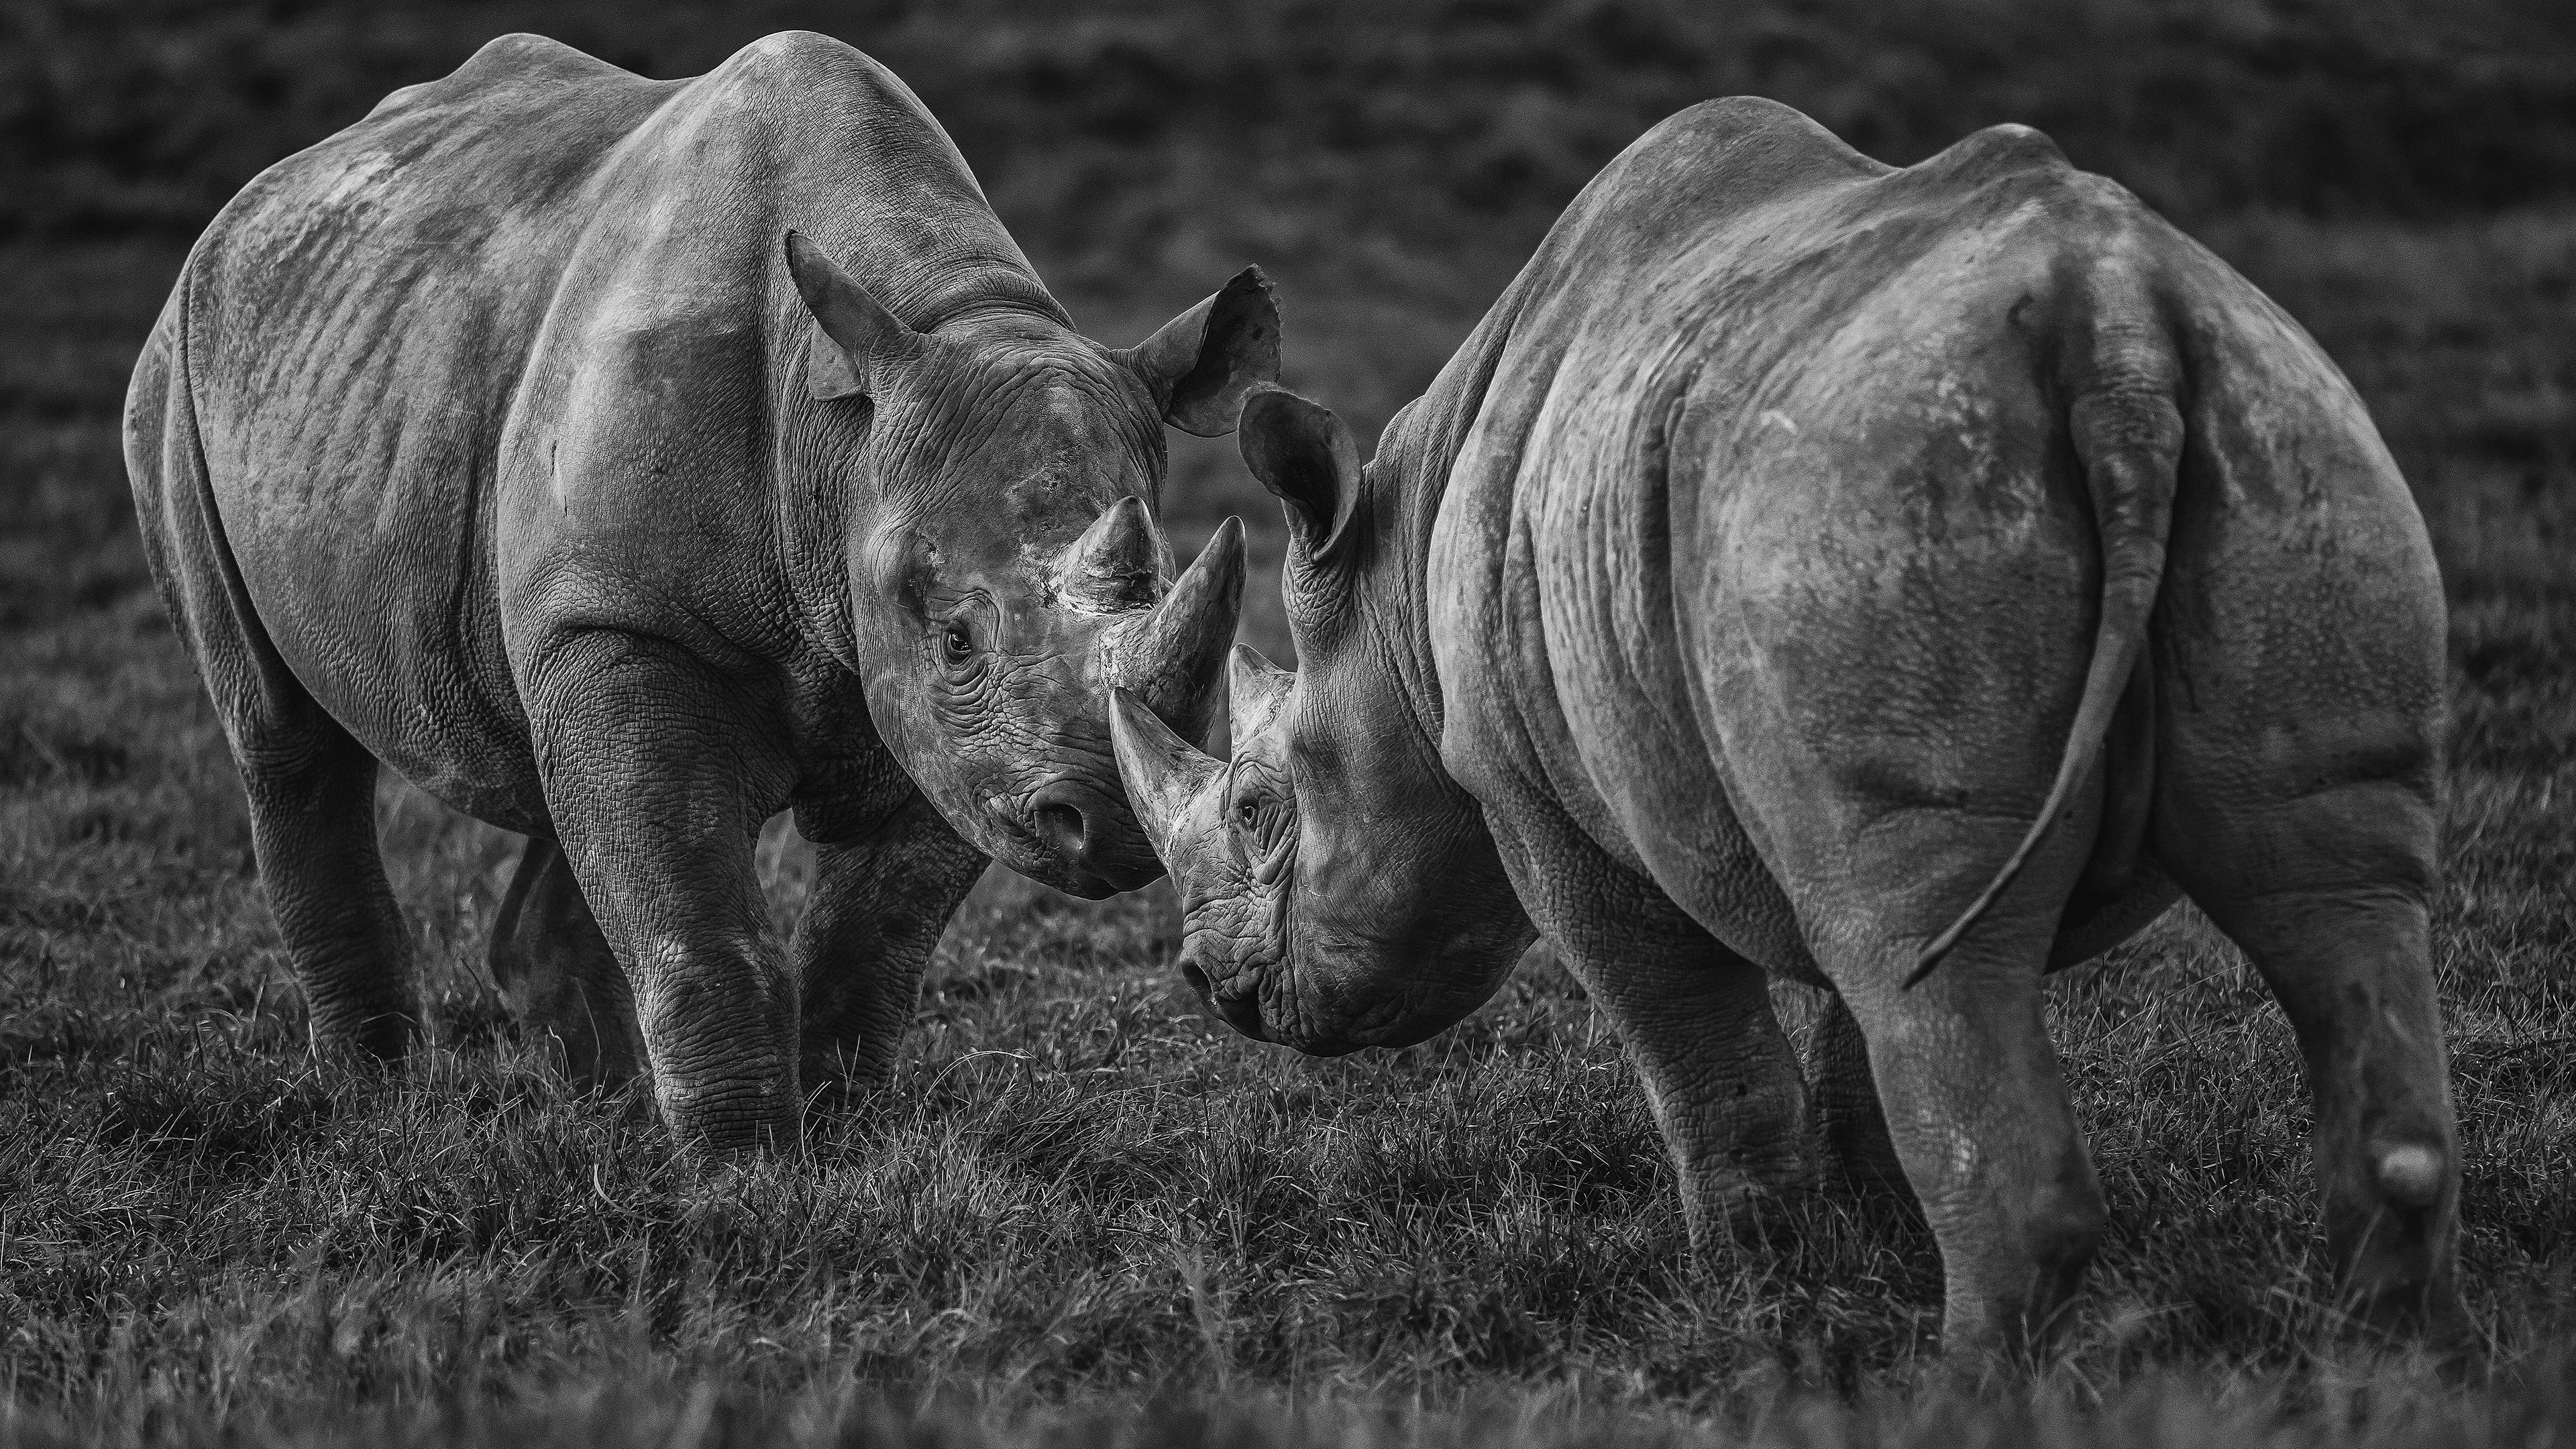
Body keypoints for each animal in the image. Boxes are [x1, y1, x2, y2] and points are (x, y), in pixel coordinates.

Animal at [123, 31, 1275, 1153]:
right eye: (957, 638)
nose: (1113, 824)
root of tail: (269, 188)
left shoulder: (951, 733)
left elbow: (871, 934)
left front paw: (846, 1145)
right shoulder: (646, 622)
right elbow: (697, 913)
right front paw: (744, 1169)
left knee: (559, 780)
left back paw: (600, 1111)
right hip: (181, 363)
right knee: (283, 739)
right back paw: (377, 1106)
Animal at [1112, 98, 2458, 1350]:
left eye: (1258, 808)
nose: (1208, 984)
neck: (1391, 599)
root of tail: (2117, 328)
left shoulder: (1537, 806)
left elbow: (1701, 1052)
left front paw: (1751, 1291)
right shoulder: (1793, 787)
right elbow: (1869, 1026)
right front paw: (1870, 1230)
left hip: (1882, 502)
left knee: (1953, 941)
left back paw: (1964, 1393)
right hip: (2271, 426)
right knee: (2319, 879)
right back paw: (2369, 1362)